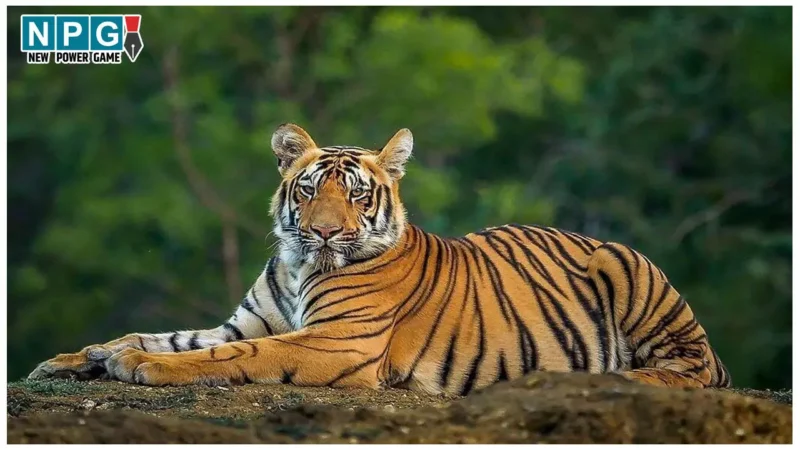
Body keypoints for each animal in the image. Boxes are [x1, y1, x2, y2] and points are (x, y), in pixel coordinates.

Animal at [28, 123, 731, 394]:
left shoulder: (337, 342)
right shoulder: (244, 321)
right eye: (309, 190)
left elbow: (229, 356)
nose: (323, 233)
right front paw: (80, 357)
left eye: (357, 195)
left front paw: (136, 366)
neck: (297, 265)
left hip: (630, 272)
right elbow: (165, 334)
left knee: (690, 372)